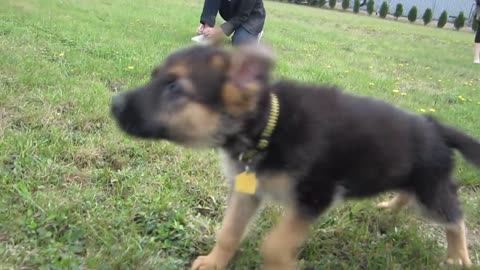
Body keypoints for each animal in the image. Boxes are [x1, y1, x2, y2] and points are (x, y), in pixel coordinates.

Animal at [111, 43, 476, 268]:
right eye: (155, 76)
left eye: (175, 88)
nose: (113, 104)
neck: (267, 127)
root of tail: (435, 127)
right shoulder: (248, 192)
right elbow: (228, 232)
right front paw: (214, 262)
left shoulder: (314, 196)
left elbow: (273, 245)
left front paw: (281, 263)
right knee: (408, 193)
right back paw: (391, 205)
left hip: (431, 190)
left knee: (456, 218)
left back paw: (458, 256)